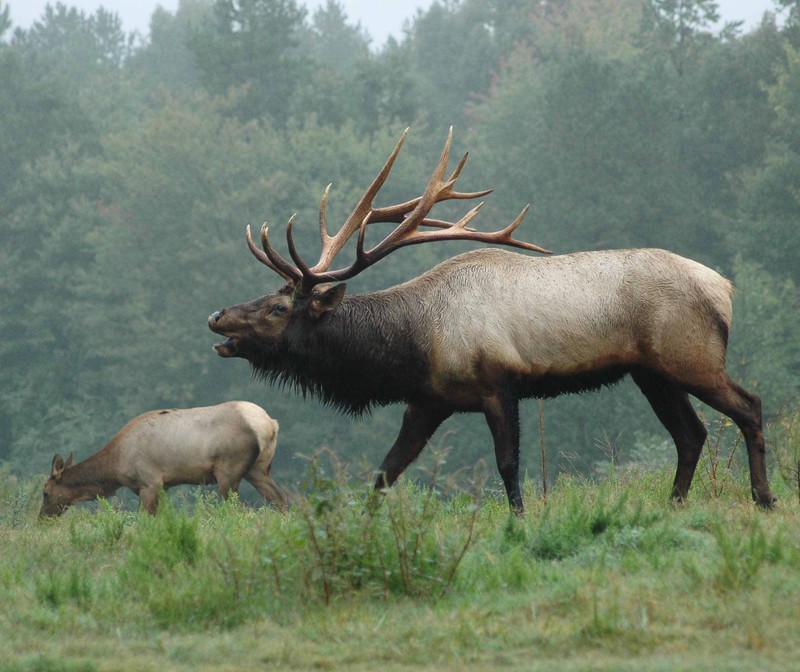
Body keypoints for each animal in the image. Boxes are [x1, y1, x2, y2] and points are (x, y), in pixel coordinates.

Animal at [39, 402, 288, 516]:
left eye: (45, 492)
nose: (42, 518)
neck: (116, 466)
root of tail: (270, 424)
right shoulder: (164, 486)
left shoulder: (149, 482)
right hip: (258, 469)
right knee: (280, 499)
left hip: (229, 469)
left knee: (238, 508)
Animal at [208, 127, 776, 516]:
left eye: (280, 308)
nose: (217, 316)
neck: (413, 344)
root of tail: (724, 288)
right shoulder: (428, 400)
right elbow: (386, 471)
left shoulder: (499, 386)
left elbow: (508, 464)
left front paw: (519, 521)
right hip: (652, 373)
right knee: (691, 434)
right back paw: (674, 504)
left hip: (691, 357)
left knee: (749, 406)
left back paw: (763, 497)